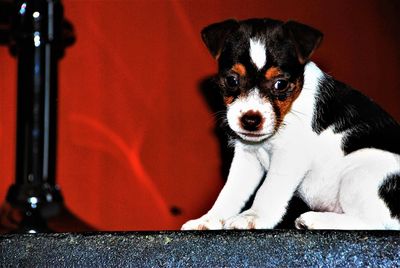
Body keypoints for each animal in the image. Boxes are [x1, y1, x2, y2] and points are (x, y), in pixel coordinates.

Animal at [182, 18, 400, 230]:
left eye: (281, 84)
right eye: (232, 80)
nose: (251, 120)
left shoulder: (290, 156)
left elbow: (268, 190)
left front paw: (254, 216)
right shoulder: (247, 157)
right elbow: (230, 193)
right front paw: (209, 220)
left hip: (364, 171)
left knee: (376, 223)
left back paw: (315, 220)